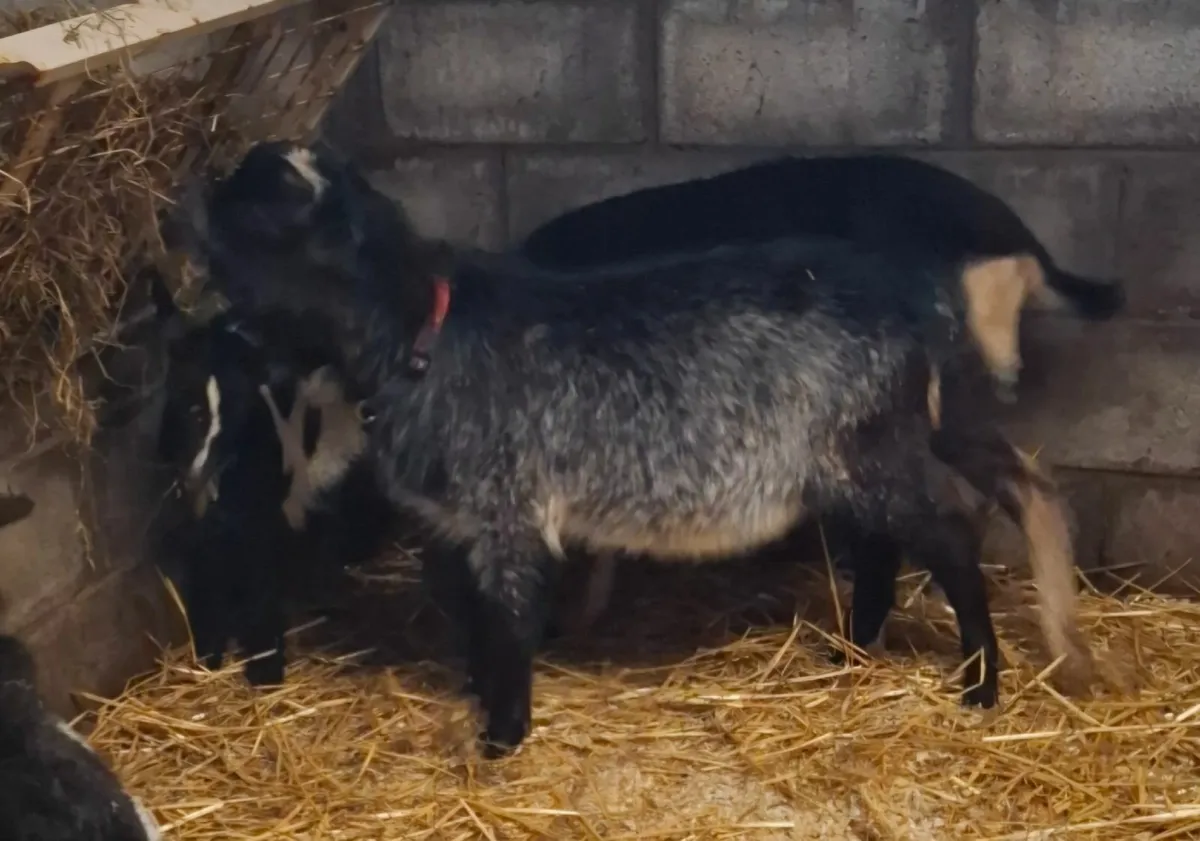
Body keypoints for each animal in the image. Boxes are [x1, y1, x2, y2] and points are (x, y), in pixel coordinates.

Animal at [154, 290, 392, 686]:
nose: (198, 471)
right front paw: (208, 654)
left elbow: (258, 574)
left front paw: (263, 666)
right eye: (192, 411)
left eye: (237, 413)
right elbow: (209, 562)